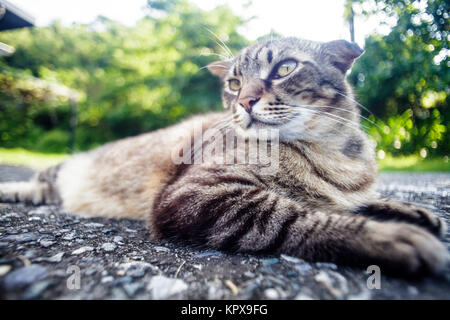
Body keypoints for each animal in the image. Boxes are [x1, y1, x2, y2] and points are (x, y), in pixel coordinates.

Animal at [1, 37, 448, 276]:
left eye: (284, 68)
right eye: (234, 83)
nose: (246, 100)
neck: (330, 150)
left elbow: (359, 200)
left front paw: (410, 211)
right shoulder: (196, 194)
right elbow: (298, 217)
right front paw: (389, 237)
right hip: (62, 171)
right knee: (36, 181)